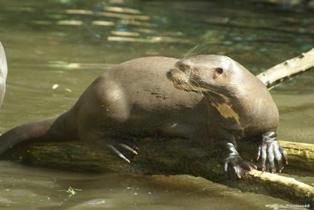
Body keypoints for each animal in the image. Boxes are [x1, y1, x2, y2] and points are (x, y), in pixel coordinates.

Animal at [0, 55, 288, 178]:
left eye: (185, 66)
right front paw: (236, 161)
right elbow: (224, 142)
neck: (243, 107)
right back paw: (118, 145)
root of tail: (80, 102)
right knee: (89, 133)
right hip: (109, 101)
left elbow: (270, 131)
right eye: (180, 61)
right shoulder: (215, 124)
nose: (170, 71)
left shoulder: (268, 112)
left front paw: (270, 149)